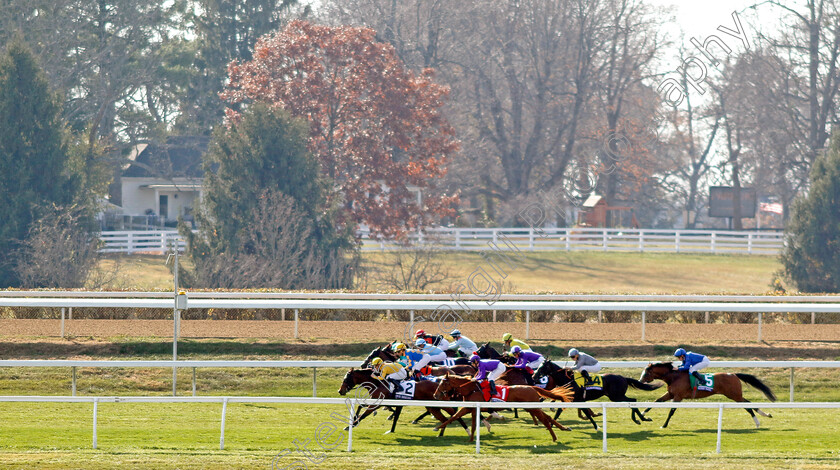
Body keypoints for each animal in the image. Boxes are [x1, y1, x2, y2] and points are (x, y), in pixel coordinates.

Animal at [532, 358, 664, 428]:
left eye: (542, 367)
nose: (534, 376)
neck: (568, 379)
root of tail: (623, 377)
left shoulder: (578, 400)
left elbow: (586, 413)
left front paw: (596, 426)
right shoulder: (573, 400)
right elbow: (560, 411)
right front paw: (552, 425)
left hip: (616, 396)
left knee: (633, 401)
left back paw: (640, 419)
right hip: (616, 396)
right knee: (632, 402)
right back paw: (640, 419)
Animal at [644, 362, 776, 428]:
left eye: (646, 372)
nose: (641, 380)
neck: (674, 377)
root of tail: (734, 374)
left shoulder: (678, 397)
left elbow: (671, 411)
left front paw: (664, 425)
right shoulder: (670, 394)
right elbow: (656, 401)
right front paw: (643, 414)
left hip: (734, 396)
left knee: (747, 406)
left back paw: (758, 422)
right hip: (736, 395)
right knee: (749, 403)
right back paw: (764, 416)